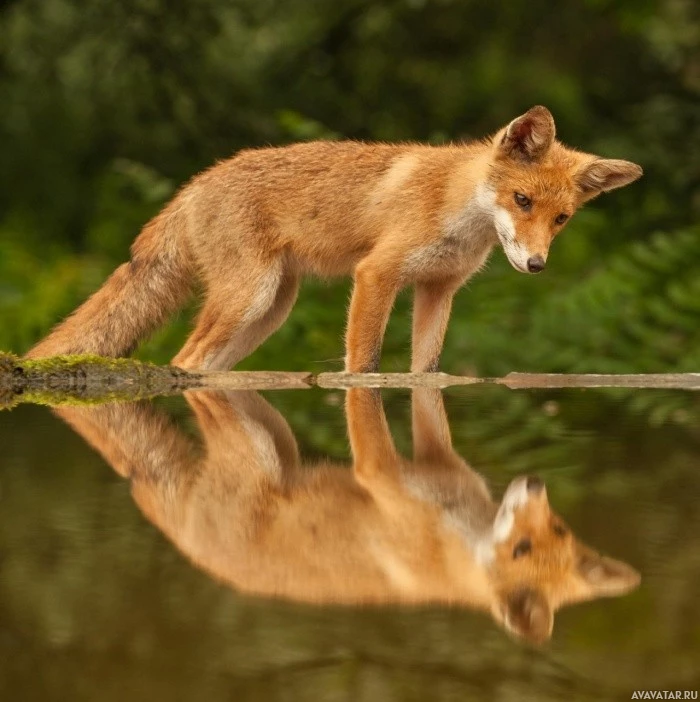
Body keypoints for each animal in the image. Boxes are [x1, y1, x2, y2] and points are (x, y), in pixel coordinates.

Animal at [26, 106, 640, 374]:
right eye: (522, 202)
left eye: (561, 219)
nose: (536, 265)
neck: (456, 210)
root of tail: (194, 183)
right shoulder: (377, 273)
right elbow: (363, 366)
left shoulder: (437, 290)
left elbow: (425, 372)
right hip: (248, 298)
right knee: (183, 360)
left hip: (266, 315)